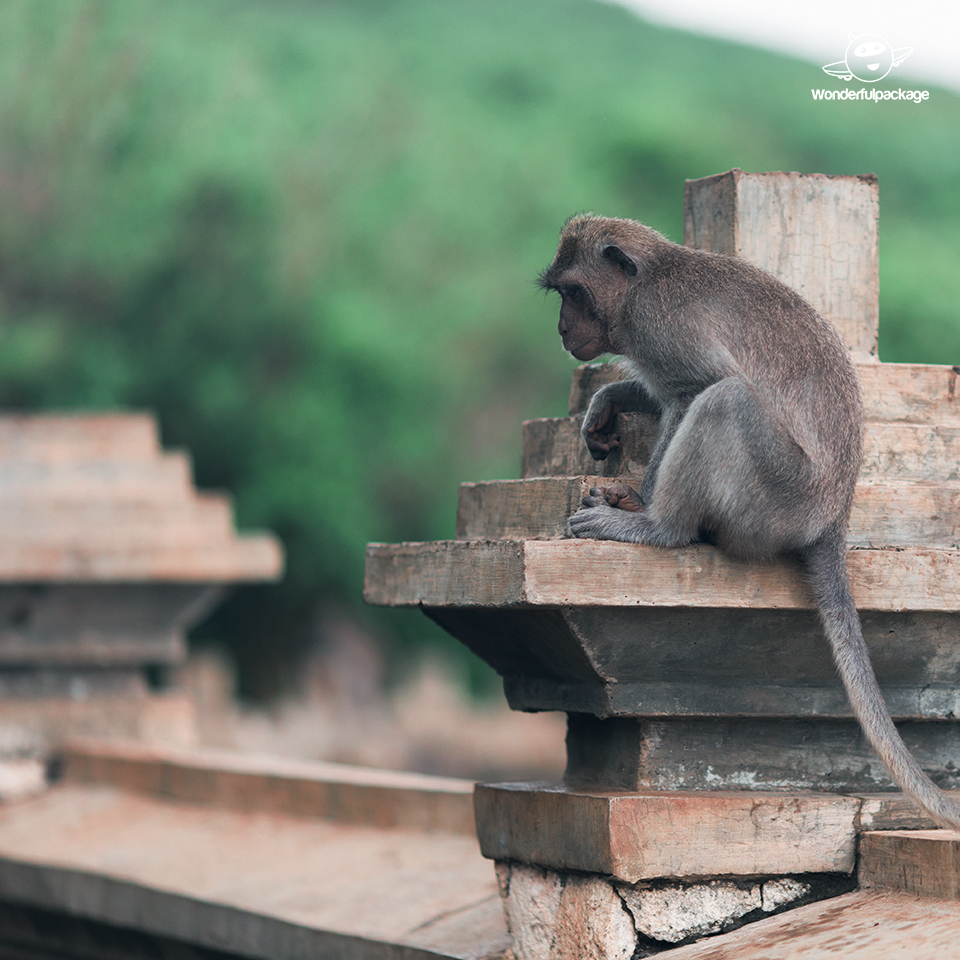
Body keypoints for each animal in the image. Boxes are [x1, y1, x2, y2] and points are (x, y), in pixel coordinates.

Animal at [540, 214, 960, 828]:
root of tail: (834, 517)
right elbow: (658, 392)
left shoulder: (662, 327)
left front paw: (638, 500)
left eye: (573, 292)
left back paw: (660, 526)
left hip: (775, 498)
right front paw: (608, 402)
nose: (564, 328)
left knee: (726, 399)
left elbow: (692, 390)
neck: (646, 281)